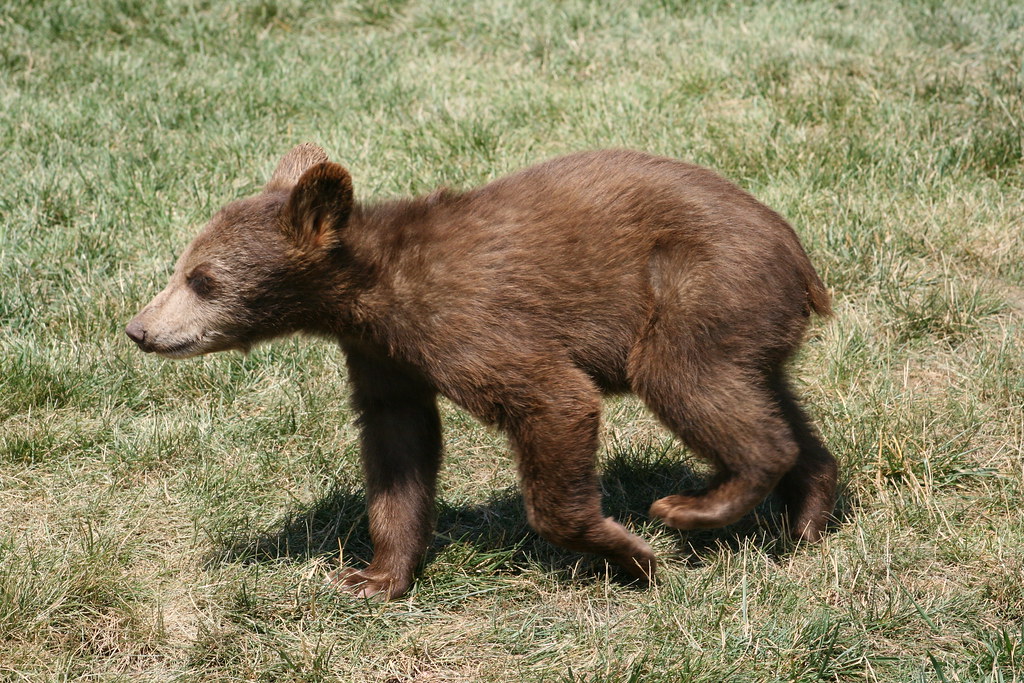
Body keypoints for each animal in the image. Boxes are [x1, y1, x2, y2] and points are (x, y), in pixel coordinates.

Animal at [126, 144, 837, 599]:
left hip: (698, 286)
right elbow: (398, 447)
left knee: (684, 381)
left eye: (202, 279)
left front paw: (632, 555)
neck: (375, 295)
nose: (139, 329)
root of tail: (802, 259)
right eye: (182, 266)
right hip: (745, 324)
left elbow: (554, 397)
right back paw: (806, 517)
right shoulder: (383, 355)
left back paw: (693, 507)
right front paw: (371, 576)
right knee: (768, 399)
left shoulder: (469, 322)